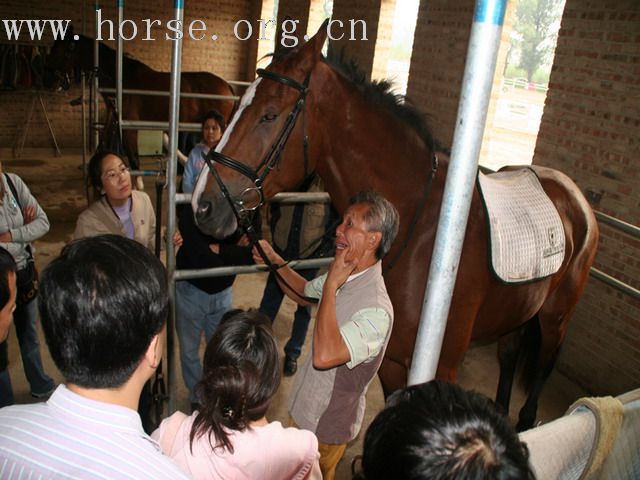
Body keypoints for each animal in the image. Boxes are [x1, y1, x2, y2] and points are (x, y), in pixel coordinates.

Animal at [45, 32, 236, 171]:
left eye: (58, 50)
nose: (48, 77)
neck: (121, 79)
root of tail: (226, 86)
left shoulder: (130, 129)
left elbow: (134, 161)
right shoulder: (113, 121)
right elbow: (104, 147)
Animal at [190, 24, 600, 430]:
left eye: (269, 115)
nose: (202, 205)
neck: (419, 232)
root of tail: (576, 198)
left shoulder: (443, 367)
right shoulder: (389, 361)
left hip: (555, 319)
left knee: (544, 365)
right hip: (517, 315)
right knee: (510, 356)